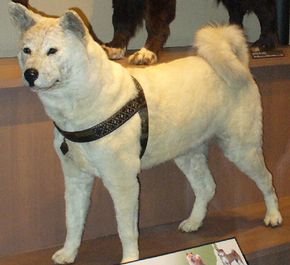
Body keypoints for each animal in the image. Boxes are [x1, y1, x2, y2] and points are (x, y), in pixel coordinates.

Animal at [9, 2, 284, 264]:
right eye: (26, 50)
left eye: (52, 51)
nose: (30, 74)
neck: (88, 101)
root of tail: (238, 63)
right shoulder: (76, 179)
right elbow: (73, 222)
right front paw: (68, 253)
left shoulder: (123, 182)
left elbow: (126, 229)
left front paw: (130, 258)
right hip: (188, 154)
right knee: (207, 187)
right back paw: (194, 222)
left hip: (241, 149)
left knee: (267, 180)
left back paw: (273, 216)